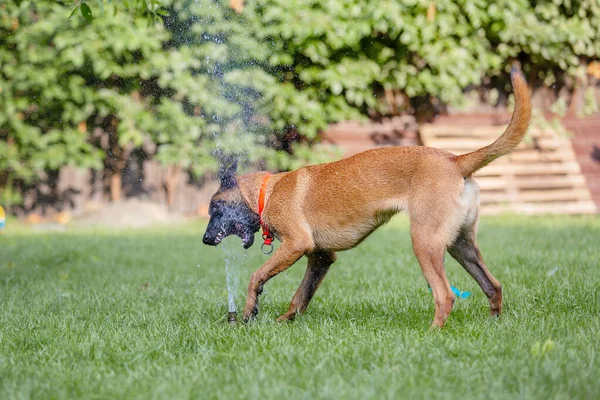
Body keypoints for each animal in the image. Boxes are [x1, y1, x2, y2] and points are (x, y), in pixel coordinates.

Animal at [203, 69, 528, 328]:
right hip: (461, 245)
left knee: (445, 295)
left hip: (425, 242)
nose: (205, 240)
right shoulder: (320, 258)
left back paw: (431, 333)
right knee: (493, 285)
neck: (266, 192)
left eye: (215, 207)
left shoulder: (297, 244)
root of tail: (455, 160)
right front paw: (283, 321)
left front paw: (248, 312)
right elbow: (300, 297)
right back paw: (493, 325)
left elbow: (256, 276)